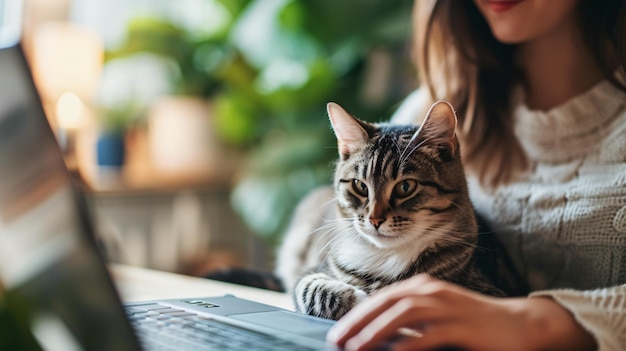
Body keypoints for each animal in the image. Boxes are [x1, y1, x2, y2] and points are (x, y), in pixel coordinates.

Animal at [276, 101, 524, 322]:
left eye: (405, 187)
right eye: (359, 186)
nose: (374, 219)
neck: (385, 257)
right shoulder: (315, 271)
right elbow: (310, 288)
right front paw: (360, 301)